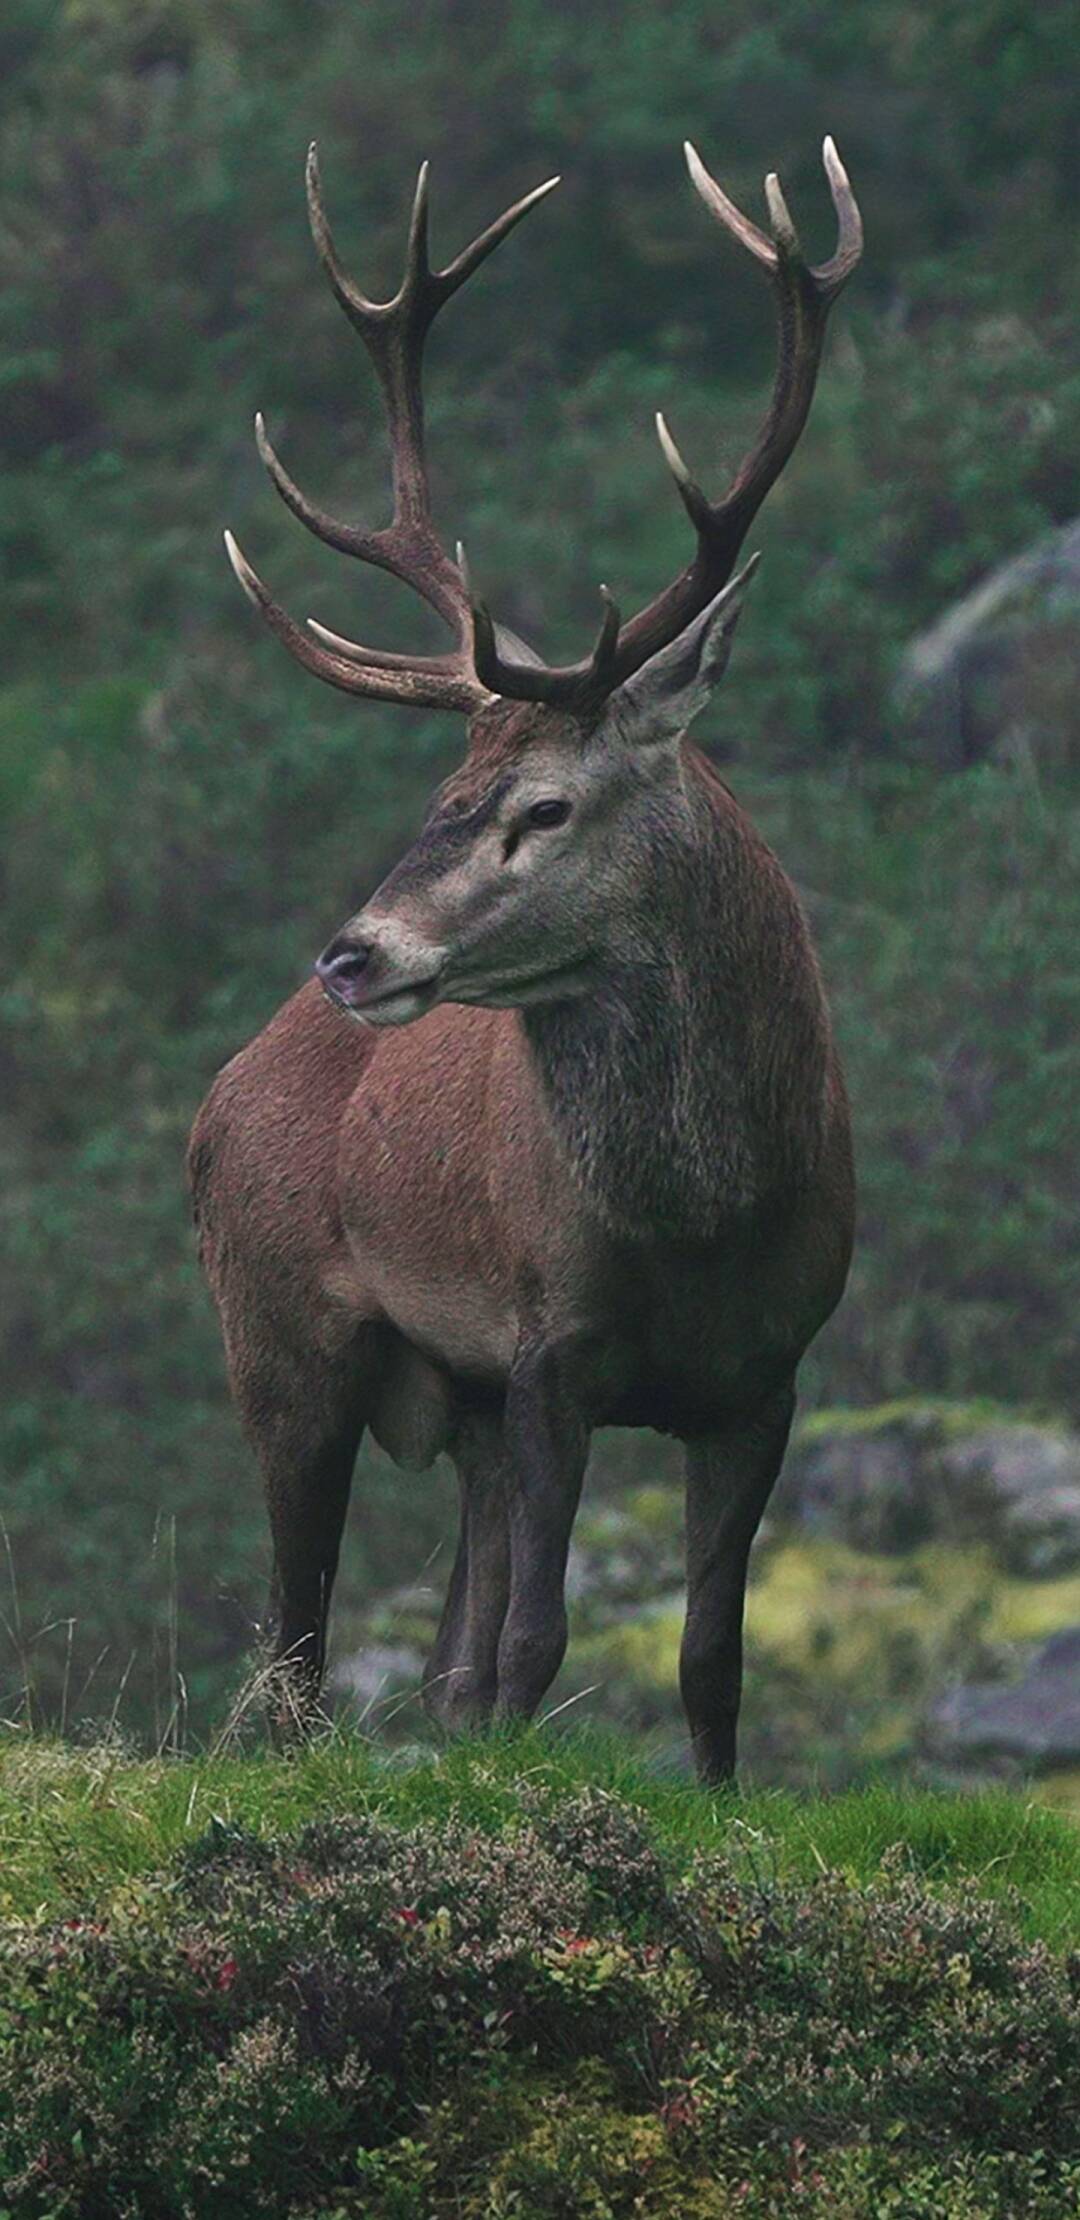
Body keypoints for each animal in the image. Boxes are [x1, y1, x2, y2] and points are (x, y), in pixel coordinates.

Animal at [187, 125, 862, 1784]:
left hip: (464, 1401)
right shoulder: (554, 1342)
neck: (707, 1225)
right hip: (276, 1336)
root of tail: (222, 1089)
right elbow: (540, 1647)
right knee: (293, 1651)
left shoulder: (770, 1374)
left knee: (439, 1658)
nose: (352, 957)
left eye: (541, 804)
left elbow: (705, 1660)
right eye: (443, 791)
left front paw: (710, 1798)